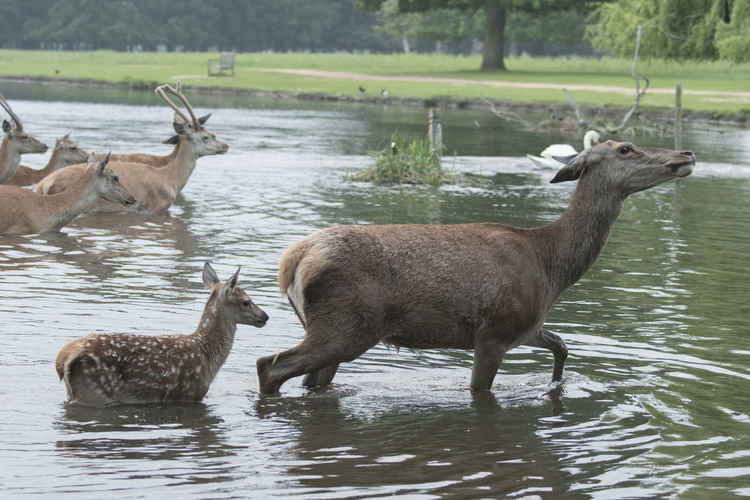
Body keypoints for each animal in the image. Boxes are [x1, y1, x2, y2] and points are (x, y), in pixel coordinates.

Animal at [35, 82, 228, 215]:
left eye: (212, 133)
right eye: (206, 137)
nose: (225, 146)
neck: (170, 179)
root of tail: (43, 185)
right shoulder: (155, 208)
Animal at [55, 262, 268, 406]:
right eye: (246, 301)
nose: (265, 316)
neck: (207, 356)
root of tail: (64, 357)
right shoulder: (188, 394)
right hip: (94, 390)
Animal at [258, 140, 700, 394]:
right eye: (626, 148)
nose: (686, 154)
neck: (552, 267)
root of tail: (291, 262)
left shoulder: (527, 326)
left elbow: (562, 346)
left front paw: (554, 386)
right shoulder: (495, 331)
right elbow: (480, 392)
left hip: (330, 328)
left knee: (310, 381)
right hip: (347, 326)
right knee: (270, 365)